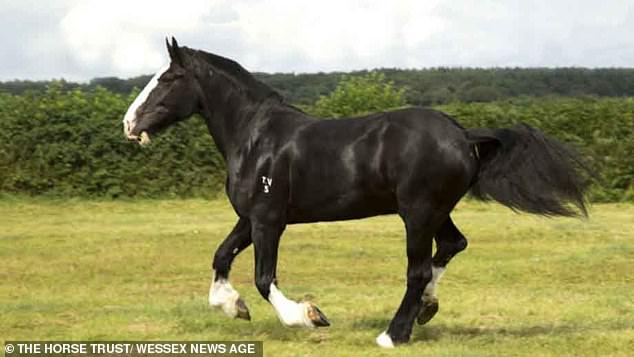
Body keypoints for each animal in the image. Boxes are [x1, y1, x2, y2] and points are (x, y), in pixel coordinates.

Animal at [123, 37, 588, 346]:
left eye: (169, 78)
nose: (129, 123)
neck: (256, 138)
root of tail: (463, 135)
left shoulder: (269, 220)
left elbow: (263, 278)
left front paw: (310, 316)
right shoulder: (249, 217)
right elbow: (220, 257)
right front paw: (232, 306)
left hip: (418, 213)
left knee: (418, 270)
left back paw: (393, 335)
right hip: (437, 211)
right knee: (453, 246)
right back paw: (426, 310)